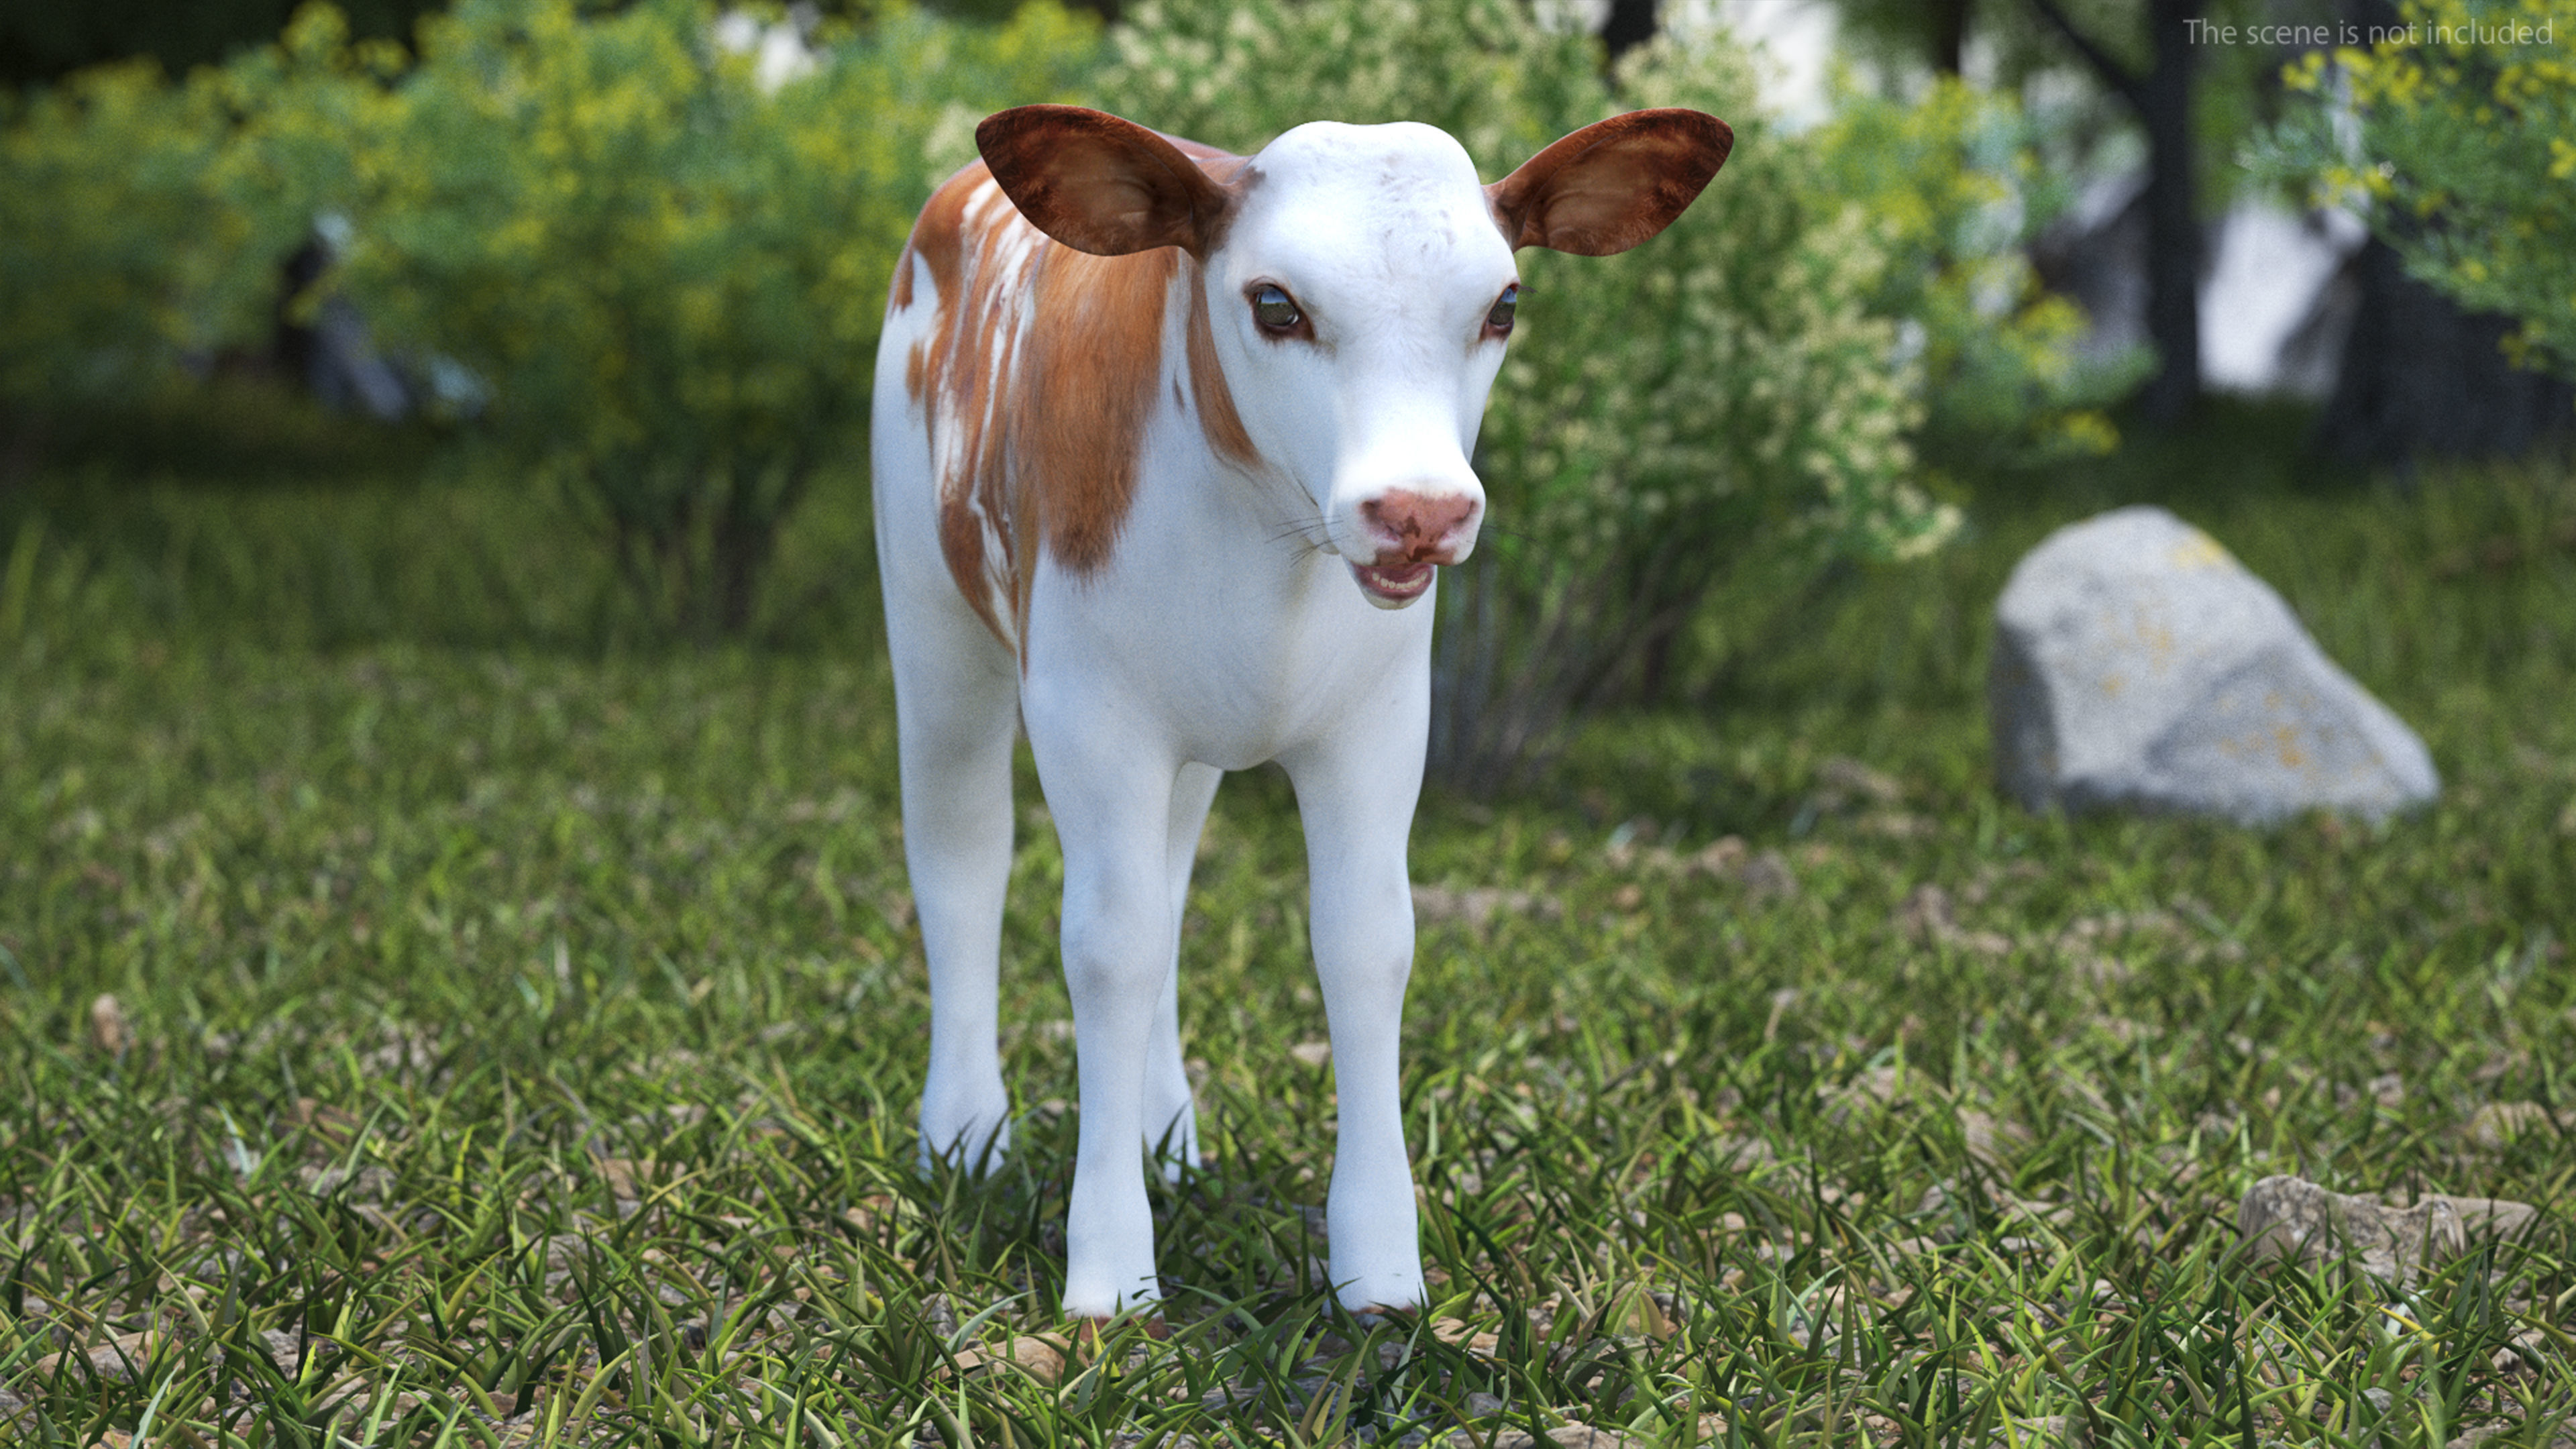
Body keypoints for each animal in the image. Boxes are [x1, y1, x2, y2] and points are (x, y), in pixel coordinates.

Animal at [872, 102, 1732, 1321]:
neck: (1271, 545)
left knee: (1170, 880)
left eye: (1503, 305)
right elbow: (1107, 948)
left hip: (1186, 742)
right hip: (935, 622)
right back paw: (964, 1136)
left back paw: (1164, 1135)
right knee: (961, 853)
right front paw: (1110, 1275)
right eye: (1277, 304)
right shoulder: (1092, 715)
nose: (1421, 510)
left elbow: (1364, 942)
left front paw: (1381, 1270)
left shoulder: (1380, 722)